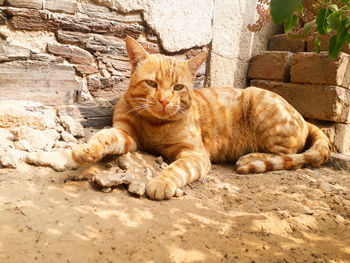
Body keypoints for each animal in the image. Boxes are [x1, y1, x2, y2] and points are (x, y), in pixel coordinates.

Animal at [72, 35, 330, 200]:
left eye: (177, 87)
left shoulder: (194, 153)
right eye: (152, 83)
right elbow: (105, 137)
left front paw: (161, 183)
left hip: (260, 103)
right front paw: (86, 150)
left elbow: (177, 169)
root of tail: (302, 117)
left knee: (288, 154)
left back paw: (249, 157)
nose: (165, 100)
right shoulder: (125, 134)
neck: (155, 125)